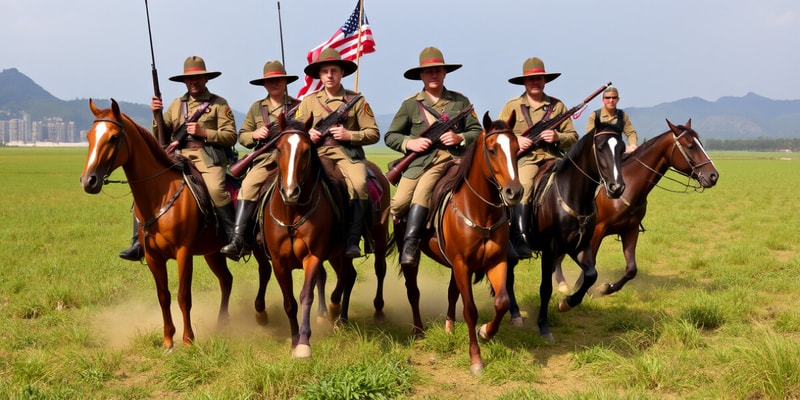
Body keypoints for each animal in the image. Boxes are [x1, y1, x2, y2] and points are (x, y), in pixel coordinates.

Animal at [79, 101, 270, 350]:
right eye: (89, 136)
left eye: (113, 137)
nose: (88, 181)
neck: (160, 195)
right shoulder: (153, 257)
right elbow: (164, 296)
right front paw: (168, 340)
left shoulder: (183, 253)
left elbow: (183, 296)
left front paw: (188, 340)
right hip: (212, 252)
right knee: (226, 280)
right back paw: (222, 322)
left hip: (256, 245)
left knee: (264, 271)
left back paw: (261, 314)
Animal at [260, 114, 390, 358]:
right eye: (279, 148)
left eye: (305, 151)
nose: (290, 192)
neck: (292, 211)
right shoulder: (279, 263)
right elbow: (289, 302)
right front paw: (294, 339)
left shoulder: (313, 256)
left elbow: (306, 295)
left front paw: (304, 341)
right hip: (337, 254)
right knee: (348, 276)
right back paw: (340, 316)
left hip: (376, 237)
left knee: (376, 270)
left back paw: (368, 311)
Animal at [396, 112, 524, 376]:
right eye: (492, 150)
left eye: (517, 149)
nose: (514, 192)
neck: (481, 211)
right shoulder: (462, 264)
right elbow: (470, 310)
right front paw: (476, 359)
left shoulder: (495, 262)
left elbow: (502, 302)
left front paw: (486, 332)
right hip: (413, 258)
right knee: (413, 291)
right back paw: (419, 331)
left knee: (451, 291)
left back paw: (448, 326)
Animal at [510, 126, 628, 340]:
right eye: (600, 148)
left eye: (622, 148)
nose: (617, 187)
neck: (573, 195)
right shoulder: (550, 250)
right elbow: (546, 288)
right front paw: (543, 325)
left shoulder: (579, 246)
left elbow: (591, 274)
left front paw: (567, 303)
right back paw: (514, 314)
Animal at [552, 117, 720, 296]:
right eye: (690, 146)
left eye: (700, 143)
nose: (713, 175)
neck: (628, 188)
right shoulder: (597, 230)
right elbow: (590, 262)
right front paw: (580, 288)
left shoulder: (630, 230)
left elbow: (631, 270)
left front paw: (606, 288)